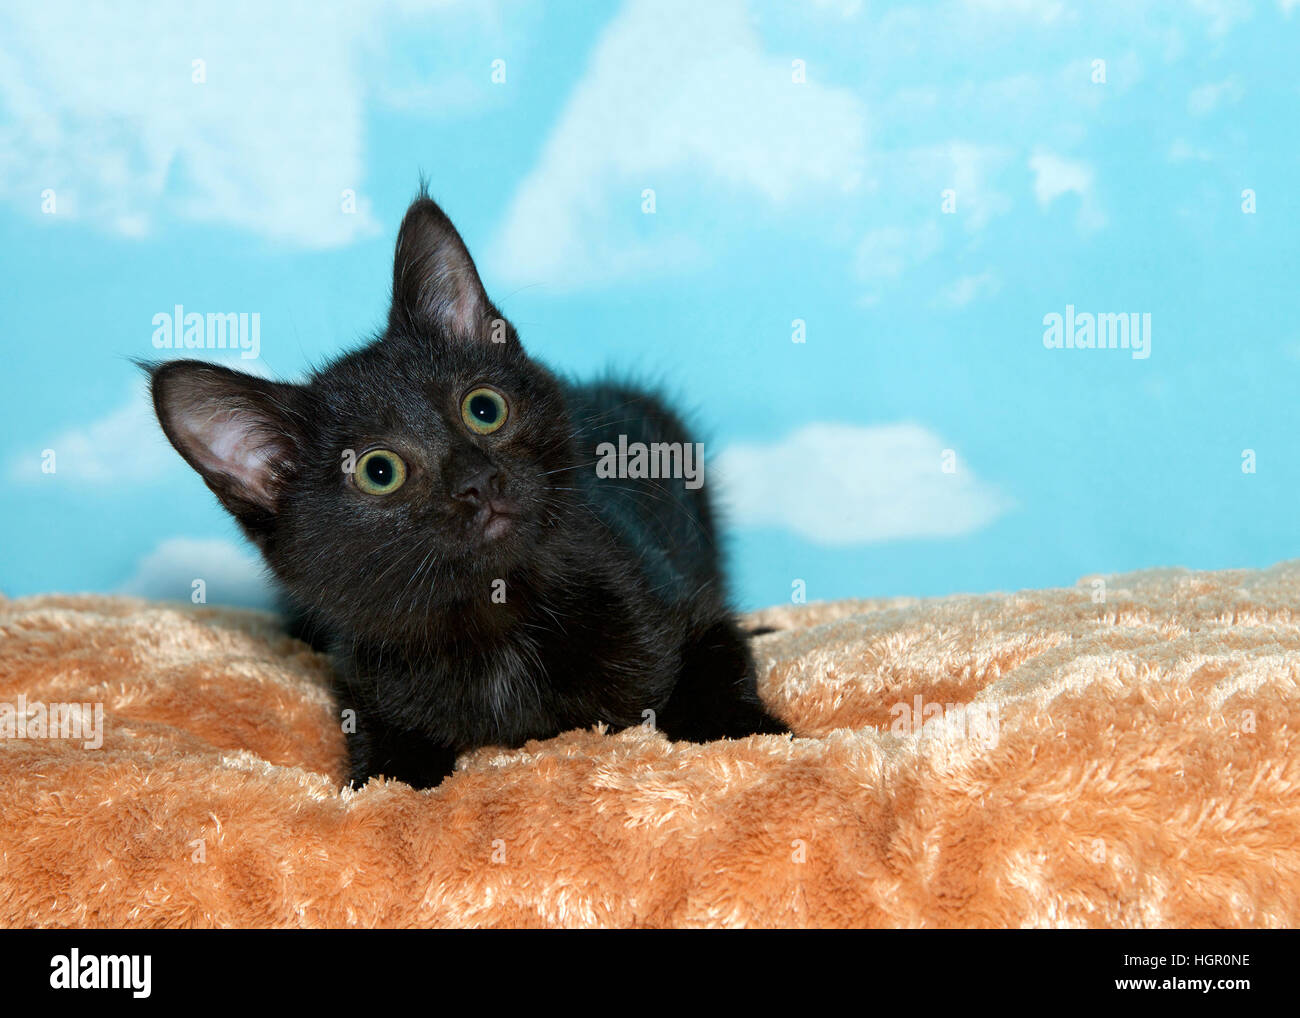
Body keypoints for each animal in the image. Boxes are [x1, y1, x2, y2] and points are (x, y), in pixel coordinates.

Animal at [148, 195, 785, 790]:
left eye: (483, 408)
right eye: (378, 471)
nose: (477, 480)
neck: (494, 620)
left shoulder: (676, 604)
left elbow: (715, 663)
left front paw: (750, 735)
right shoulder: (364, 683)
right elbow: (387, 777)